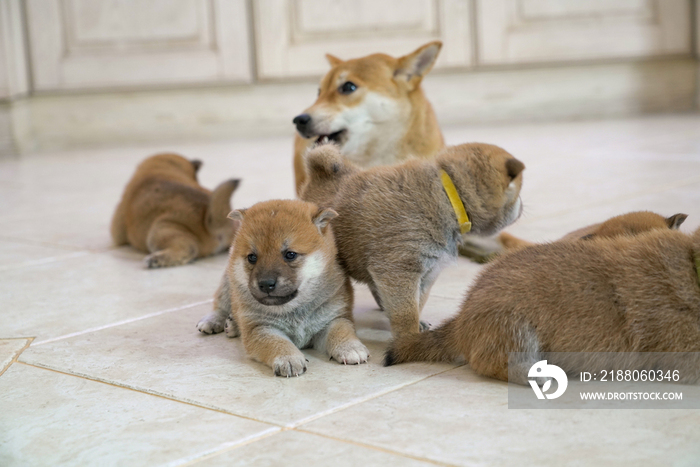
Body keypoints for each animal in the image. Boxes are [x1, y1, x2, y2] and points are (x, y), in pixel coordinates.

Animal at [194, 200, 370, 376]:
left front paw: (350, 347)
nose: (266, 283)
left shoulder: (333, 318)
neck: (294, 310)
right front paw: (288, 358)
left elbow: (341, 330)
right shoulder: (260, 328)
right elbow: (276, 342)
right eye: (252, 257)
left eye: (290, 255)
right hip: (228, 284)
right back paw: (214, 321)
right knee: (221, 305)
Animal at [300, 143, 524, 340]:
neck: (450, 196)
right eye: (518, 193)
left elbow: (418, 302)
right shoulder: (399, 270)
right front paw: (410, 336)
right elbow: (406, 312)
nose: (522, 207)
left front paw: (418, 325)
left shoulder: (428, 271)